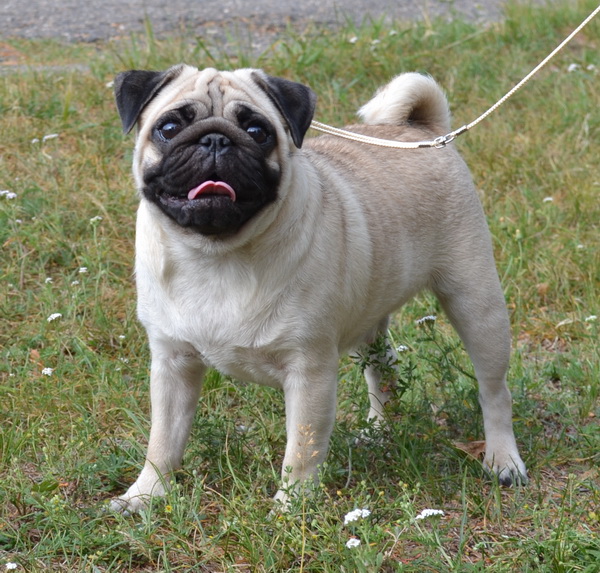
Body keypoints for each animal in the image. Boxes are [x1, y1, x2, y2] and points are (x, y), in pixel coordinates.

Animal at [111, 65, 528, 512]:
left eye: (257, 131)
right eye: (169, 128)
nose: (216, 139)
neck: (215, 255)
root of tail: (420, 128)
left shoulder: (309, 371)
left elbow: (301, 449)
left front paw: (290, 509)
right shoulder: (172, 364)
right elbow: (163, 440)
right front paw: (145, 494)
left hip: (476, 304)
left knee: (494, 391)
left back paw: (503, 460)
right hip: (370, 322)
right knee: (383, 369)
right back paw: (379, 430)